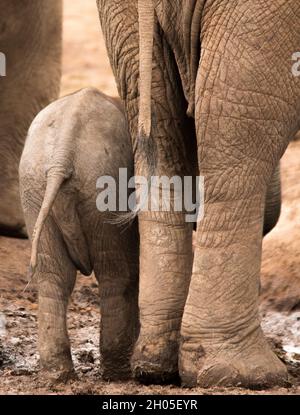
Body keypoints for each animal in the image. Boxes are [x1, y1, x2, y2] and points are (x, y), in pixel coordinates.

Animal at [19, 88, 139, 384]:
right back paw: (118, 374)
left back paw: (57, 375)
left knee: (54, 275)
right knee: (116, 272)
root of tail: (62, 156)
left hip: (34, 185)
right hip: (104, 183)